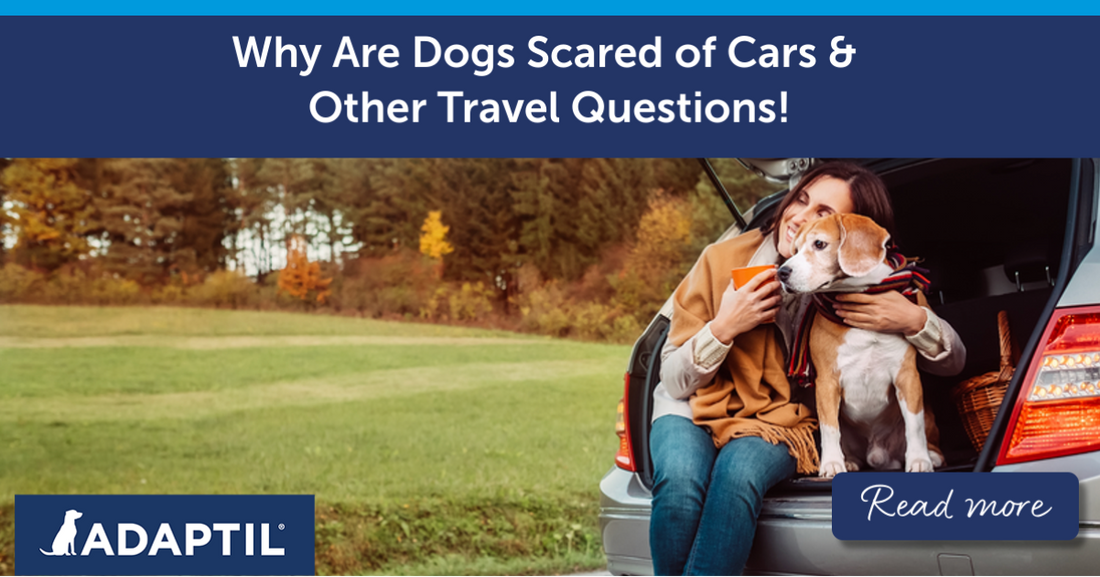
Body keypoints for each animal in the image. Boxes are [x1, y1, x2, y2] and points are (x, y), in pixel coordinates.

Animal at [778, 211, 941, 476]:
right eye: (795, 249)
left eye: (819, 244)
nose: (781, 272)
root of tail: (878, 455)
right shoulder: (826, 383)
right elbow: (830, 429)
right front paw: (832, 464)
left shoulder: (907, 377)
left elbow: (914, 425)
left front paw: (919, 460)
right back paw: (850, 461)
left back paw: (934, 456)